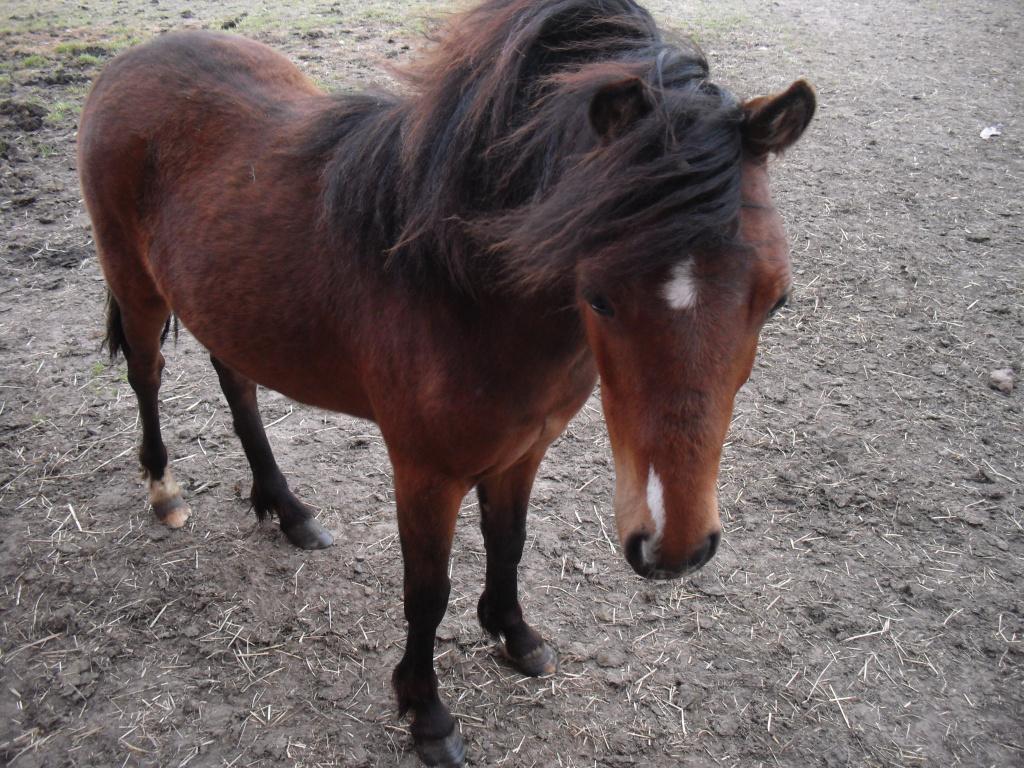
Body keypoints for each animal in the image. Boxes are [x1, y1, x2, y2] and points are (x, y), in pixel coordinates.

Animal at [77, 0, 814, 764]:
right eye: (600, 297)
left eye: (776, 299)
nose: (676, 547)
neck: (465, 290)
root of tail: (131, 61)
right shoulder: (425, 474)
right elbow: (426, 591)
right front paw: (427, 713)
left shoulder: (524, 451)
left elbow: (508, 541)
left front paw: (515, 634)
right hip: (137, 287)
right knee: (146, 376)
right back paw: (165, 492)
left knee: (238, 386)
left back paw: (288, 510)